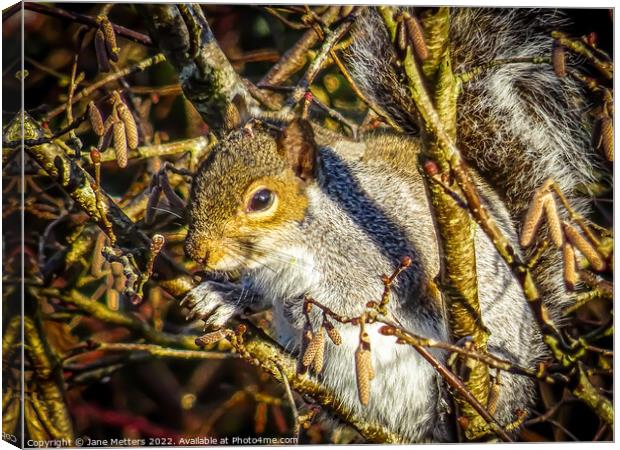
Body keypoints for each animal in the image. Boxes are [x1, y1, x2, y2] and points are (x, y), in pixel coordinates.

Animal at [180, 7, 604, 442]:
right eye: (199, 176)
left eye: (261, 200)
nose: (196, 251)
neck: (289, 248)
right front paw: (222, 296)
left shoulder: (387, 245)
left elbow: (364, 296)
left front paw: (305, 308)